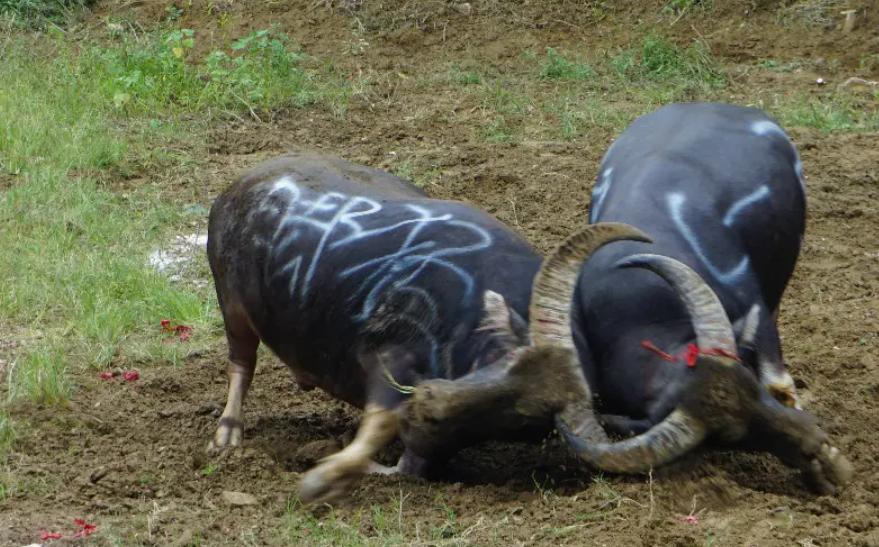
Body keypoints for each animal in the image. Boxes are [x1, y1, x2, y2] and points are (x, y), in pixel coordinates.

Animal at [206, 152, 648, 504]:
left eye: (521, 416)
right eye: (506, 361)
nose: (427, 403)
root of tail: (241, 184)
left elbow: (408, 464)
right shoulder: (388, 355)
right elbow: (381, 420)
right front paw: (321, 478)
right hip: (232, 305)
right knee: (241, 363)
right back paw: (227, 435)